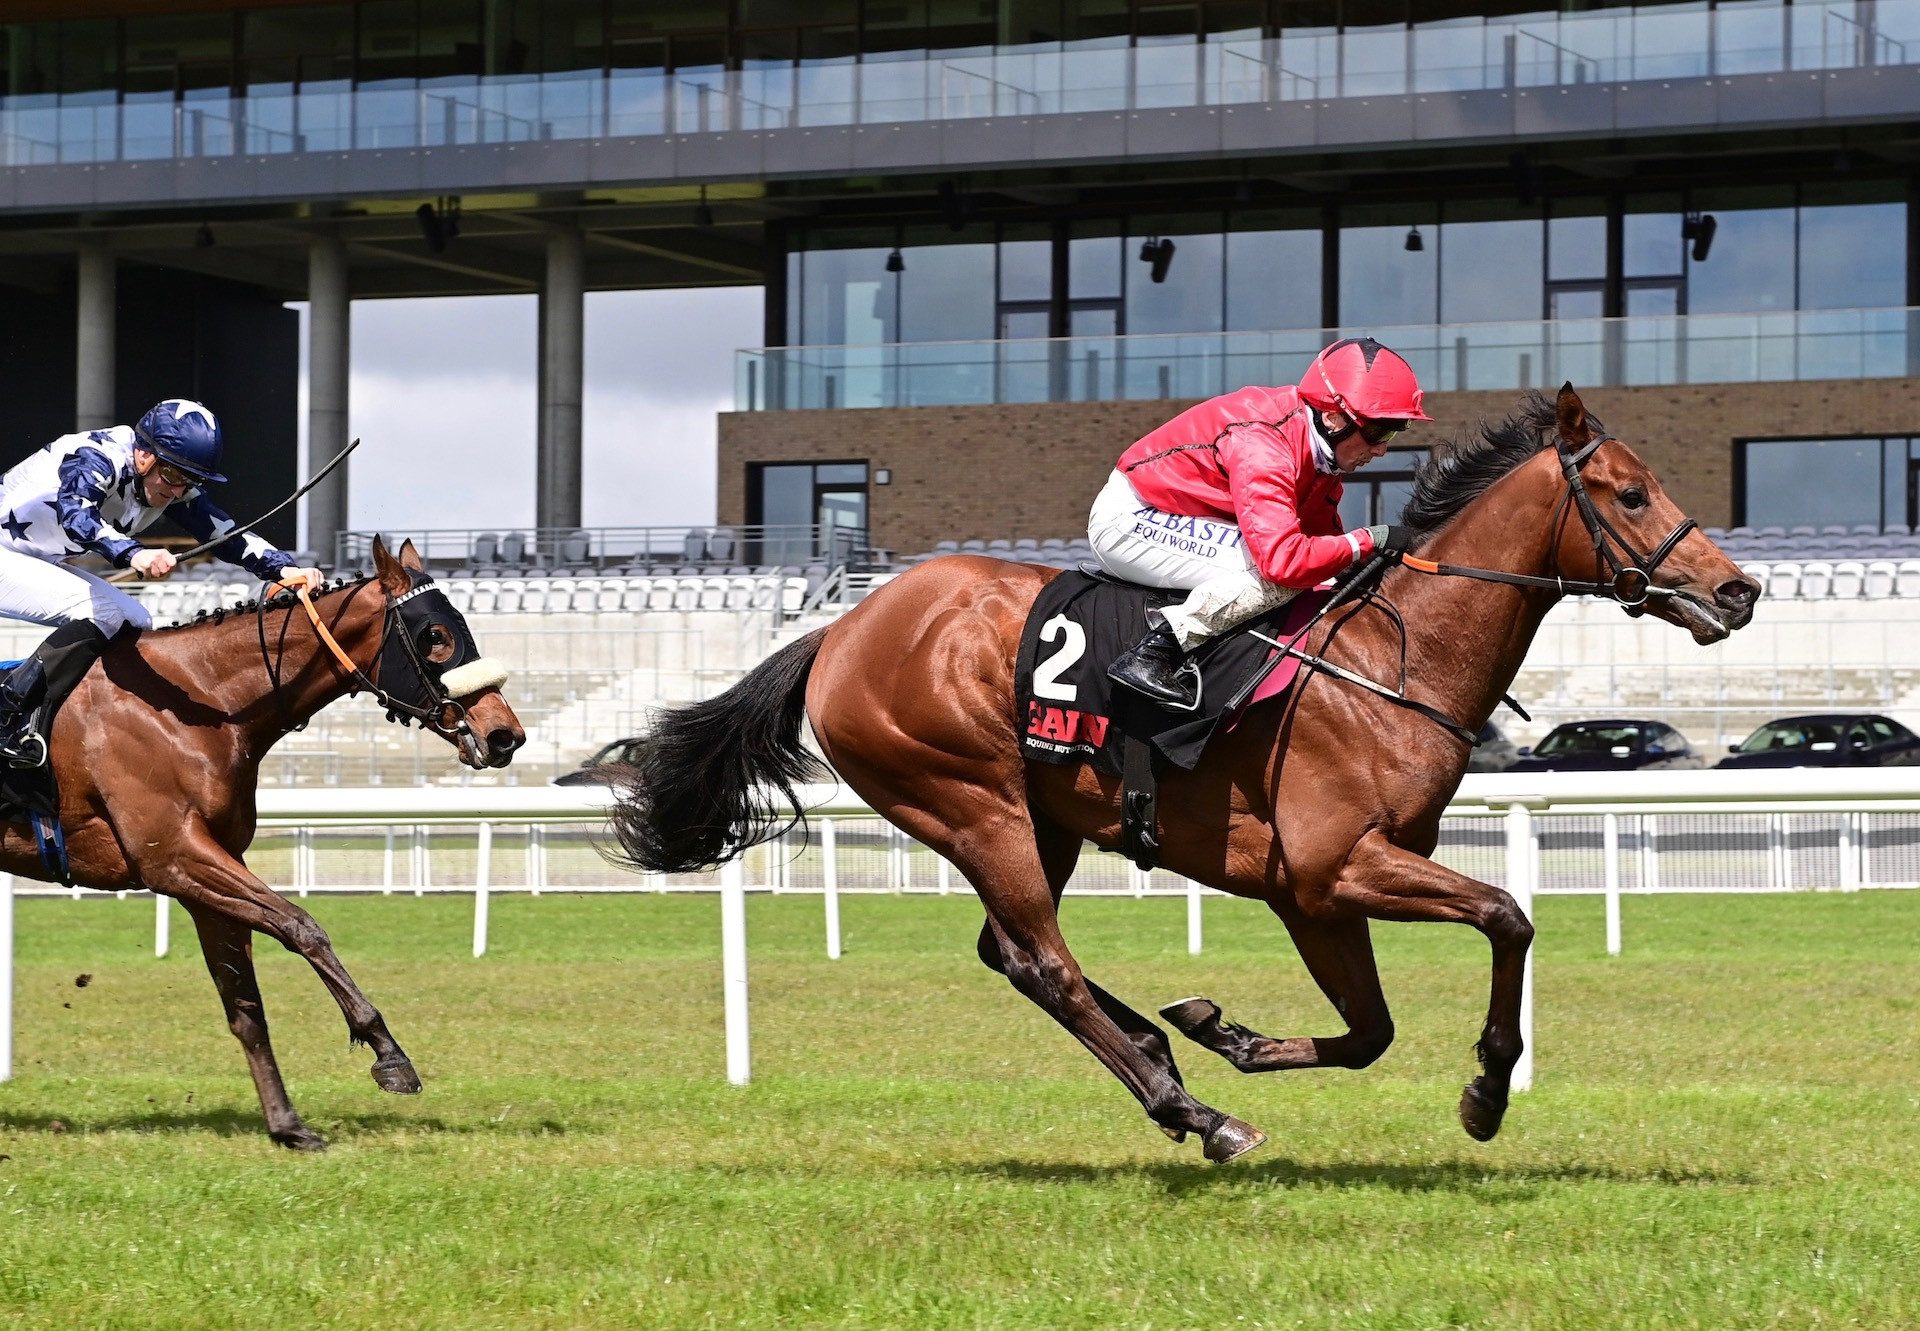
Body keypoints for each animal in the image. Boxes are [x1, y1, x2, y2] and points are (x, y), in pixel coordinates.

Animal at [0, 533, 526, 1144]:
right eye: (436, 637)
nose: (505, 735)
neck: (195, 705)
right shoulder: (173, 857)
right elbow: (303, 927)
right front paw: (388, 1054)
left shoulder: (207, 871)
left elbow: (246, 1007)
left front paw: (288, 1125)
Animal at [599, 378, 1758, 1160]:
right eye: (1630, 493)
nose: (1738, 590)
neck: (1391, 660)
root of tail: (841, 631)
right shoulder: (1336, 865)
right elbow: (1507, 917)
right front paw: (1485, 1094)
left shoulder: (1313, 891)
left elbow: (1372, 1030)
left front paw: (1223, 1028)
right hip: (971, 802)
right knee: (1043, 963)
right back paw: (1196, 1110)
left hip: (1046, 817)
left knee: (1006, 952)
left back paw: (1165, 1054)